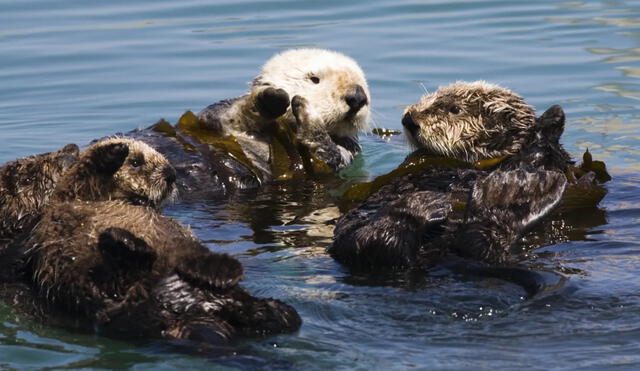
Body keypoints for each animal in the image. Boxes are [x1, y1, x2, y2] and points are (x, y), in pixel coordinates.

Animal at [1, 139, 302, 346]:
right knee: (117, 281)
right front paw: (112, 151)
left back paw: (225, 273)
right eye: (136, 162)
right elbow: (83, 177)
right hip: (108, 296)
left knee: (279, 316)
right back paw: (128, 245)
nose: (170, 174)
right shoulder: (72, 194)